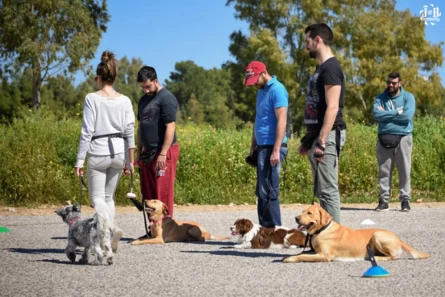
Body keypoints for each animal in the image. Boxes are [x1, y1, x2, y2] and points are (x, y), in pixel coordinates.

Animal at [280, 204, 430, 262]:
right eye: (302, 211)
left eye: (309, 213)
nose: (296, 218)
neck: (322, 230)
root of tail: (398, 238)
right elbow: (301, 253)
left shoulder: (325, 256)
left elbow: (302, 256)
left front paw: (289, 259)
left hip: (377, 235)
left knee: (393, 256)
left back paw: (375, 258)